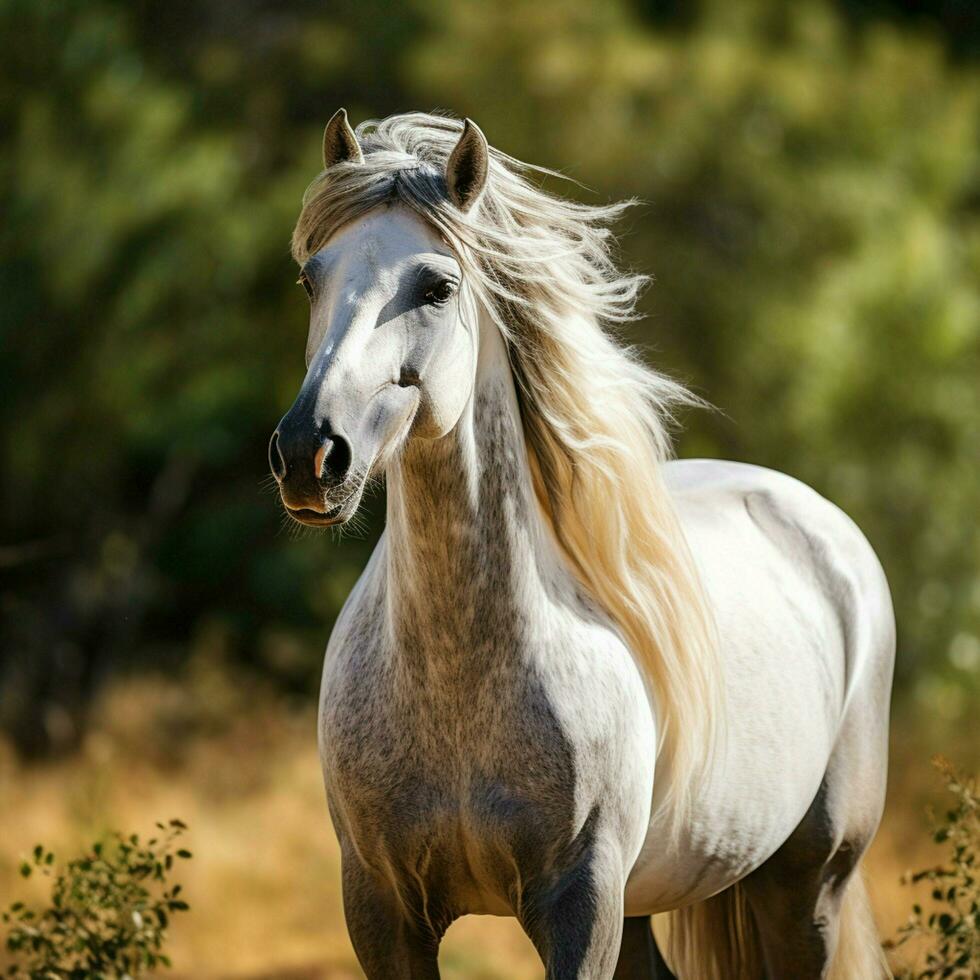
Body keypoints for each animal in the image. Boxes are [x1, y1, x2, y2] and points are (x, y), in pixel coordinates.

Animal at [268, 111, 896, 976]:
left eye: (436, 288)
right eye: (311, 279)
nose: (309, 454)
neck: (459, 683)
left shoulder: (581, 905)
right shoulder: (382, 910)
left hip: (806, 890)